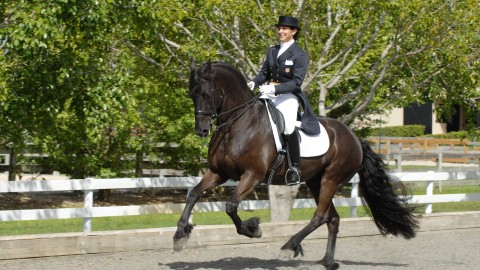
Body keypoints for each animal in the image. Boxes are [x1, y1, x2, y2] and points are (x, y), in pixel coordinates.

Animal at [174, 60, 418, 268]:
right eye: (191, 95)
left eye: (207, 94)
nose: (201, 130)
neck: (238, 124)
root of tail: (355, 138)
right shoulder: (218, 173)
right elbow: (193, 194)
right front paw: (180, 234)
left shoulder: (252, 175)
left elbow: (231, 206)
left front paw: (253, 229)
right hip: (315, 181)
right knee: (332, 218)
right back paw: (327, 261)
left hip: (331, 179)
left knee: (320, 216)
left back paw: (288, 246)